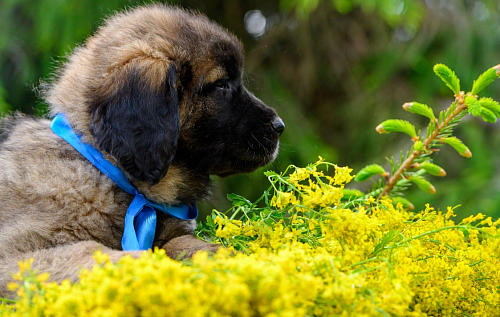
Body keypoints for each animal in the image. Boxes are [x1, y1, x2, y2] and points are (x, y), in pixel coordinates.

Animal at [0, 3, 284, 298]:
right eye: (220, 85)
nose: (280, 126)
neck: (105, 169)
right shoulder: (14, 256)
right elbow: (91, 252)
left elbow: (182, 242)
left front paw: (214, 253)